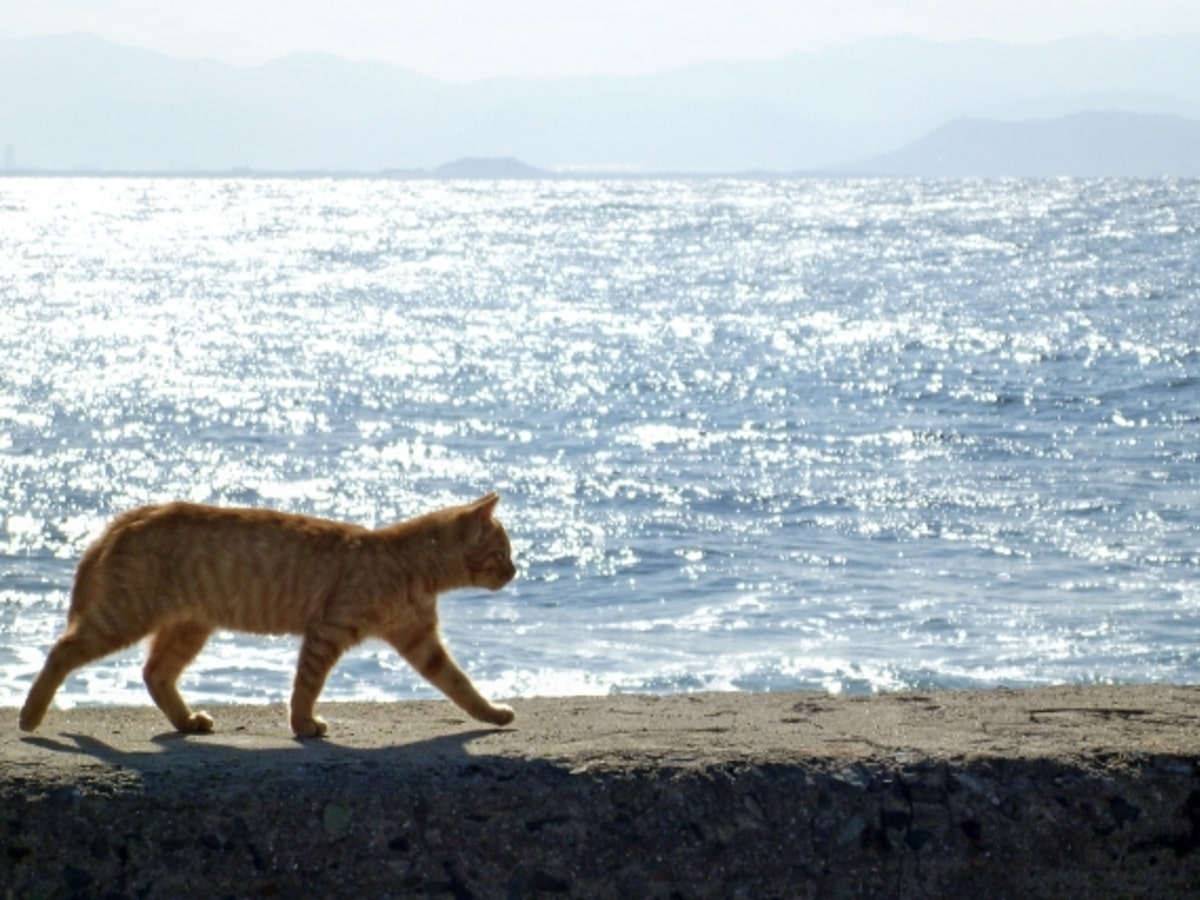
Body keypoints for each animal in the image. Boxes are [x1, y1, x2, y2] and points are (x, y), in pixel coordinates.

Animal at [17, 494, 516, 739]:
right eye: (503, 552)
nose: (515, 571)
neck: (410, 565)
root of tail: (133, 514)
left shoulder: (421, 642)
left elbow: (460, 685)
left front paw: (491, 715)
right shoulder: (326, 633)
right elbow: (306, 686)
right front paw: (303, 725)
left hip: (187, 628)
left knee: (155, 673)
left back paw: (187, 722)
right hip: (124, 615)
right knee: (62, 650)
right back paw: (29, 716)